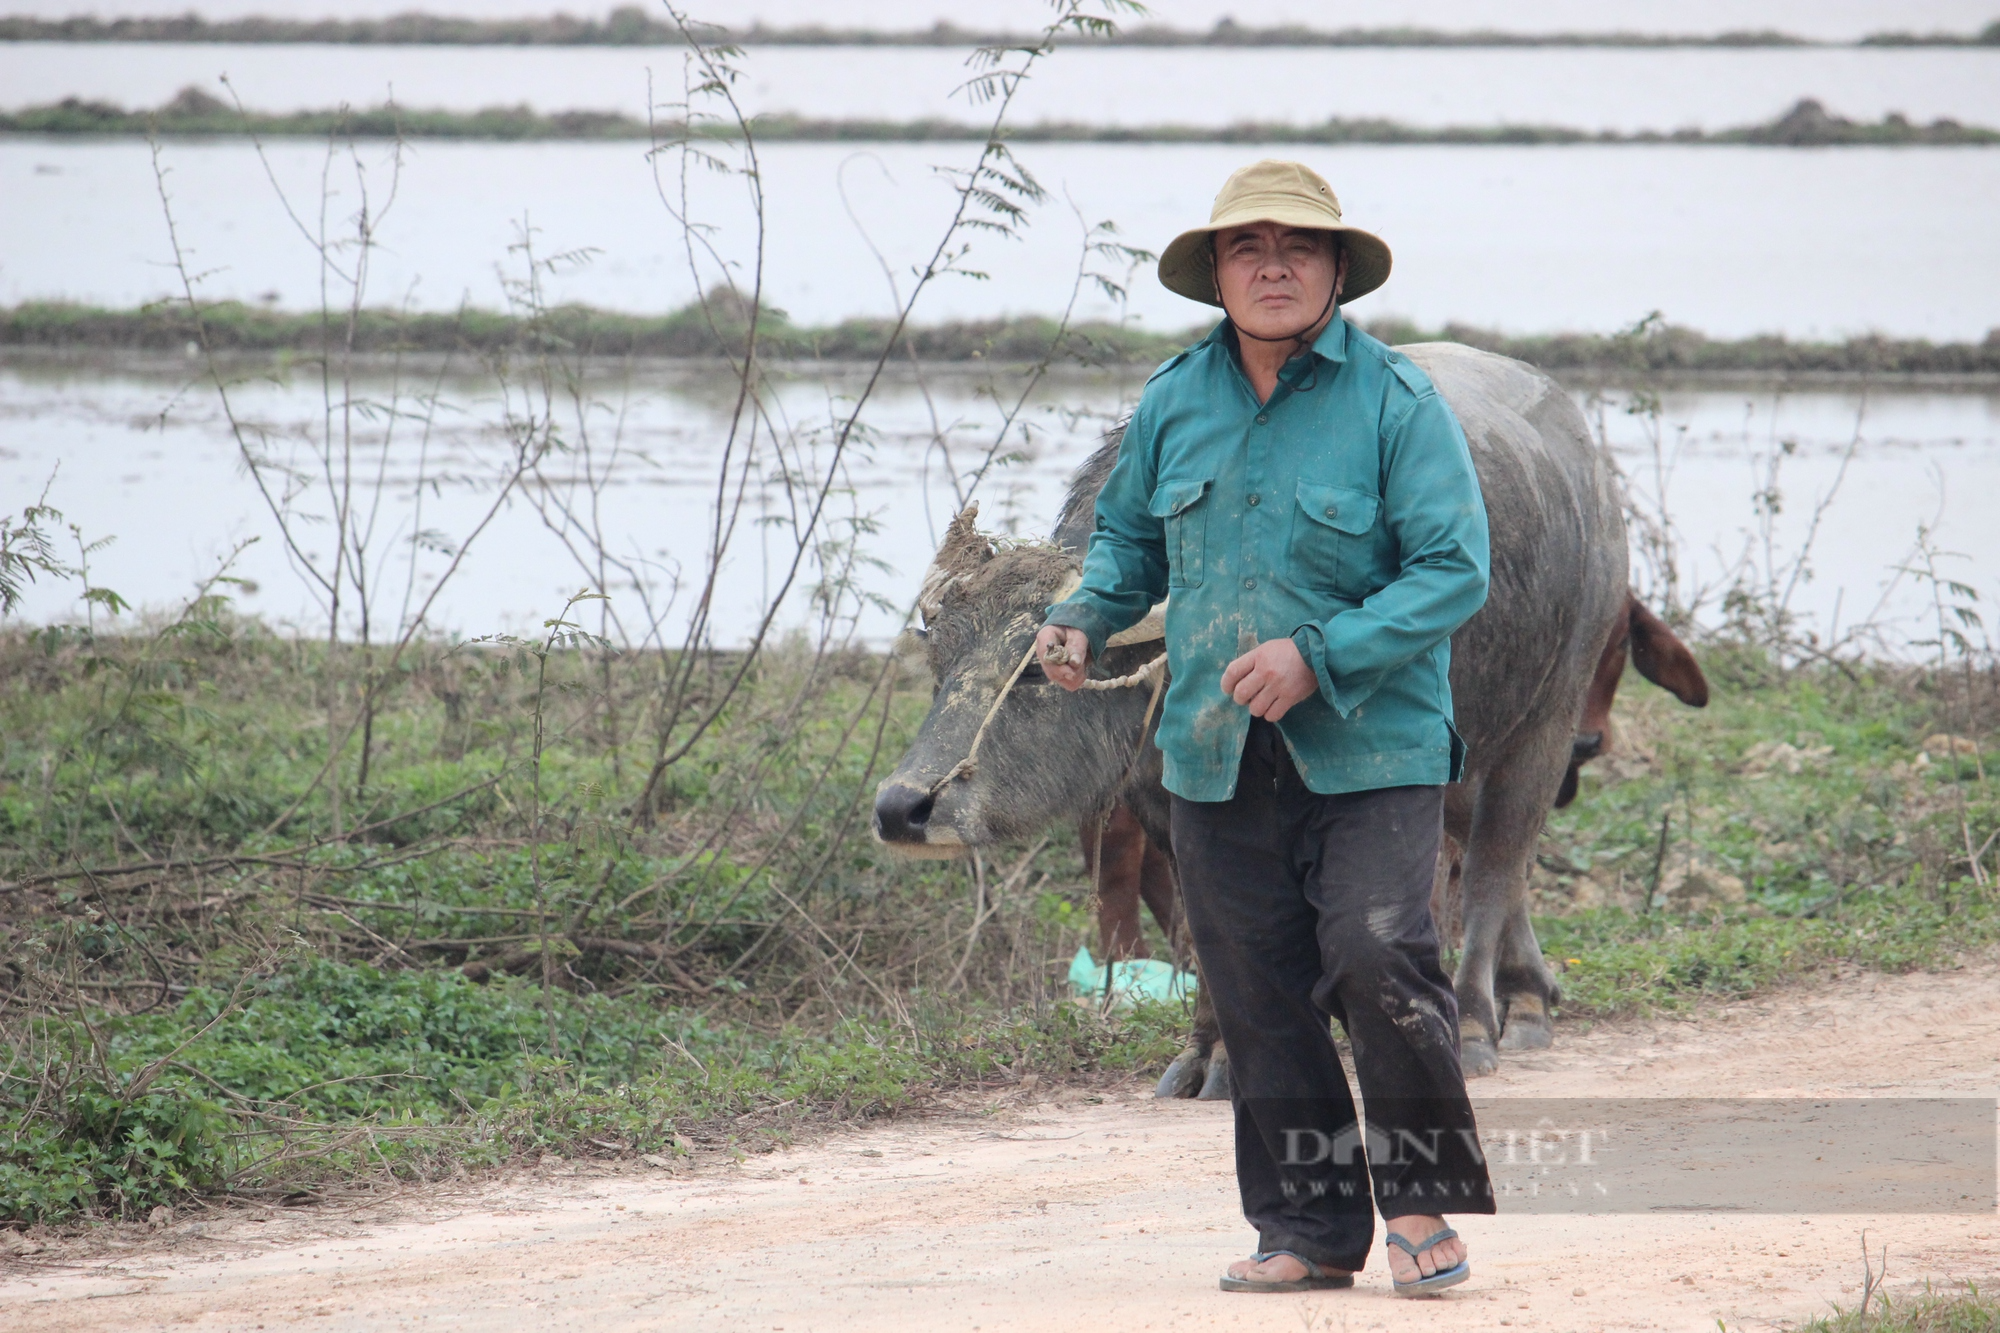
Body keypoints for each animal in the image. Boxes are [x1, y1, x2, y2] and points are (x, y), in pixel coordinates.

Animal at [876, 340, 1704, 1080]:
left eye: (1034, 674)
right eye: (941, 665)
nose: (900, 807)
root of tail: (1588, 470)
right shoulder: (1165, 808)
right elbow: (1206, 927)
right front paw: (1207, 1054)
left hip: (1545, 721)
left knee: (1496, 863)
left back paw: (1476, 1020)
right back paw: (1528, 995)